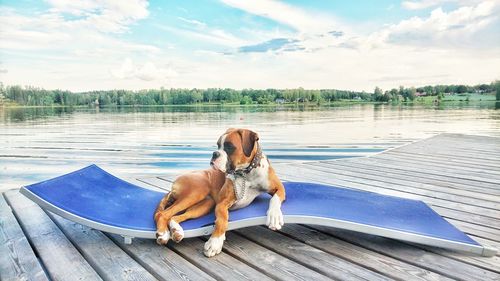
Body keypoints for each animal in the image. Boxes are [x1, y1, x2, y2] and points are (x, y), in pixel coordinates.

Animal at [152, 128, 286, 258]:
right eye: (218, 145)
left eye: (230, 146)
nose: (214, 153)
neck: (246, 173)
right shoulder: (222, 203)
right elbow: (222, 221)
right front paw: (215, 242)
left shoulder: (280, 188)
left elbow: (274, 199)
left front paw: (274, 217)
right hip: (197, 191)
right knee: (162, 214)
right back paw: (163, 234)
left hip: (205, 204)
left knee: (174, 217)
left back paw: (176, 231)